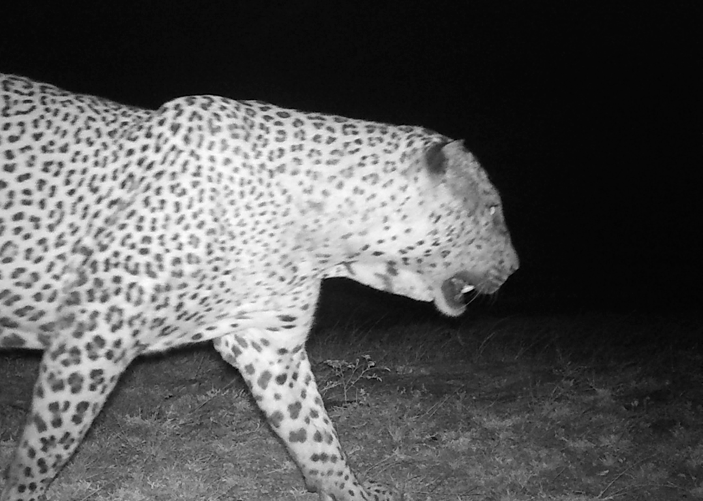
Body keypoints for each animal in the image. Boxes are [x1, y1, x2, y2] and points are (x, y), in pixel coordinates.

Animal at [0, 73, 519, 501]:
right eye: (492, 207)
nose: (515, 267)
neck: (324, 235)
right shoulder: (95, 333)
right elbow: (46, 445)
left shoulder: (270, 345)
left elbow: (317, 436)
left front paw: (353, 491)